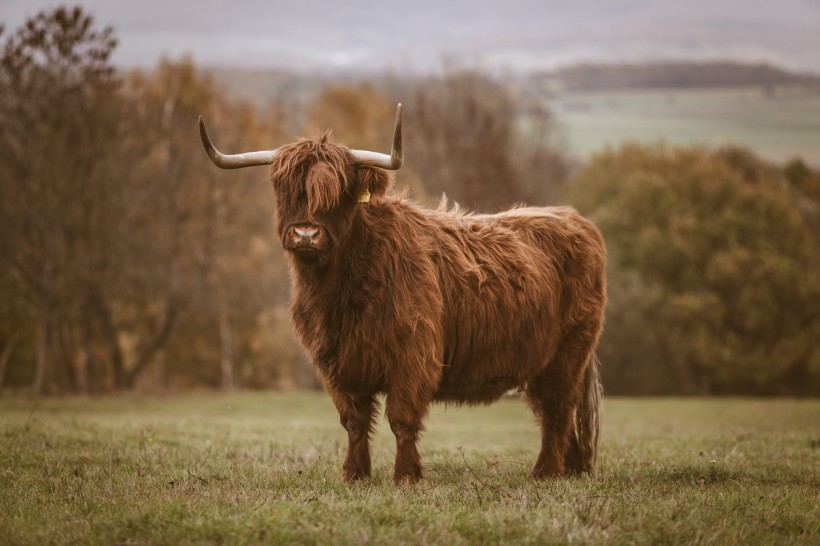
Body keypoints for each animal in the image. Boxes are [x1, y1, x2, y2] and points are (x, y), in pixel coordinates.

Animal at [200, 104, 604, 482]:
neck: (341, 290)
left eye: (340, 192)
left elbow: (402, 418)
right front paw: (354, 473)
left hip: (568, 354)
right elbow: (354, 421)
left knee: (557, 410)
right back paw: (570, 469)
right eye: (285, 188)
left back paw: (545, 471)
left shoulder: (413, 354)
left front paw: (406, 475)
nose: (305, 234)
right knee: (556, 414)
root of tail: (575, 219)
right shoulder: (335, 362)